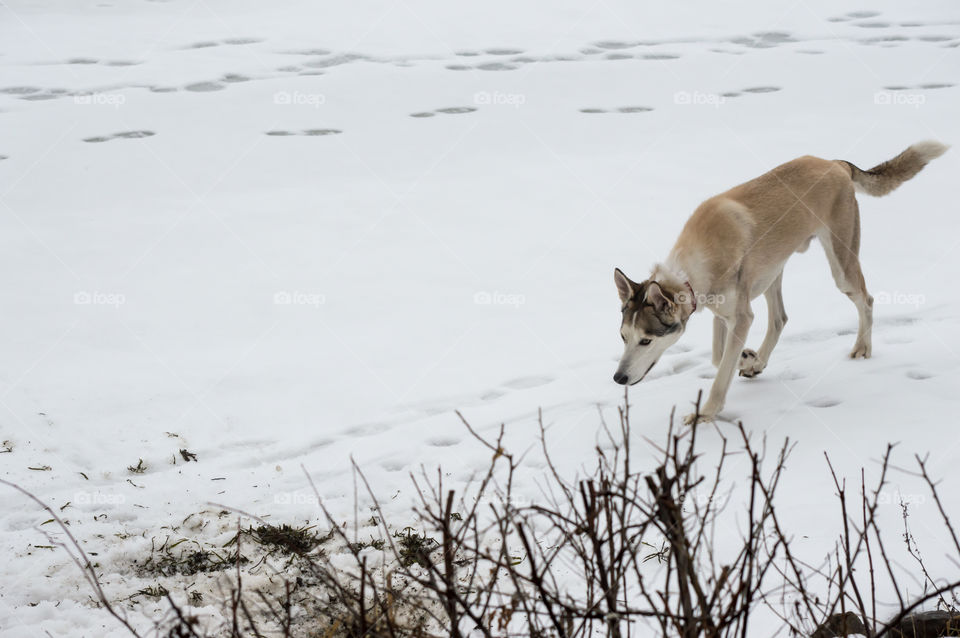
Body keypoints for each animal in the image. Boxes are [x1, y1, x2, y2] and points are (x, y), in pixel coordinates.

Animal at [612, 142, 948, 428]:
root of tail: (834, 163)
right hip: (773, 272)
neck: (690, 270)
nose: (618, 378)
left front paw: (705, 413)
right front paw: (749, 359)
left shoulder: (740, 315)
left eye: (646, 341)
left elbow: (721, 373)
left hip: (841, 267)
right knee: (780, 318)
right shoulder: (722, 311)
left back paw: (862, 348)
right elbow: (719, 357)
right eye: (623, 337)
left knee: (866, 300)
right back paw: (759, 360)